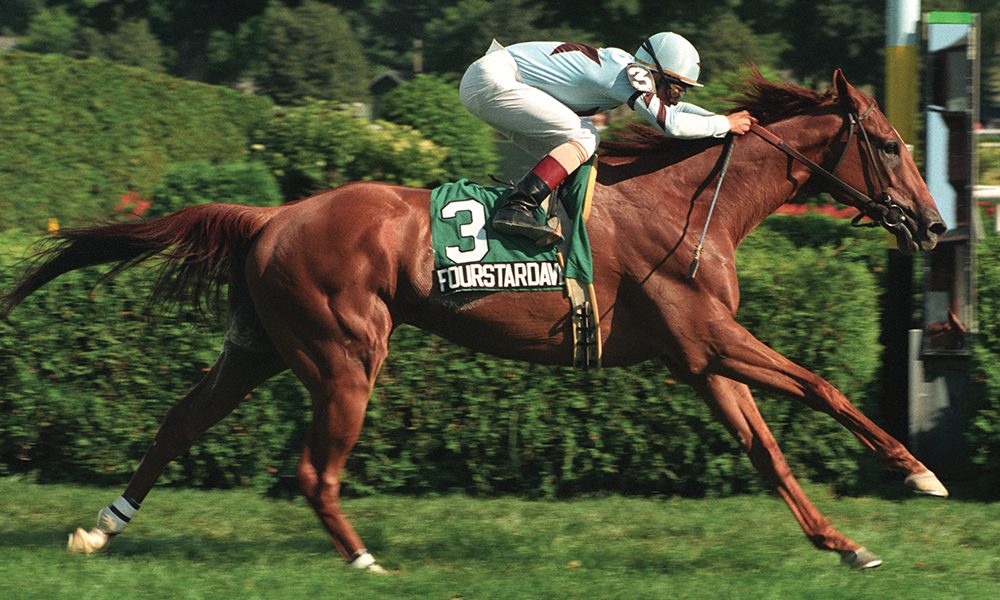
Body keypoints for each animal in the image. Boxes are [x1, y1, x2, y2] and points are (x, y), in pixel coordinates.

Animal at [1, 69, 949, 571]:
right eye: (891, 144)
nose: (935, 225)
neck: (687, 205)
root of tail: (271, 217)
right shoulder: (711, 339)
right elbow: (822, 387)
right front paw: (917, 473)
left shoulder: (698, 356)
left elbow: (768, 452)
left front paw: (845, 543)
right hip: (345, 353)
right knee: (313, 469)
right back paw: (363, 558)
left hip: (260, 346)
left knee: (179, 421)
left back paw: (100, 527)